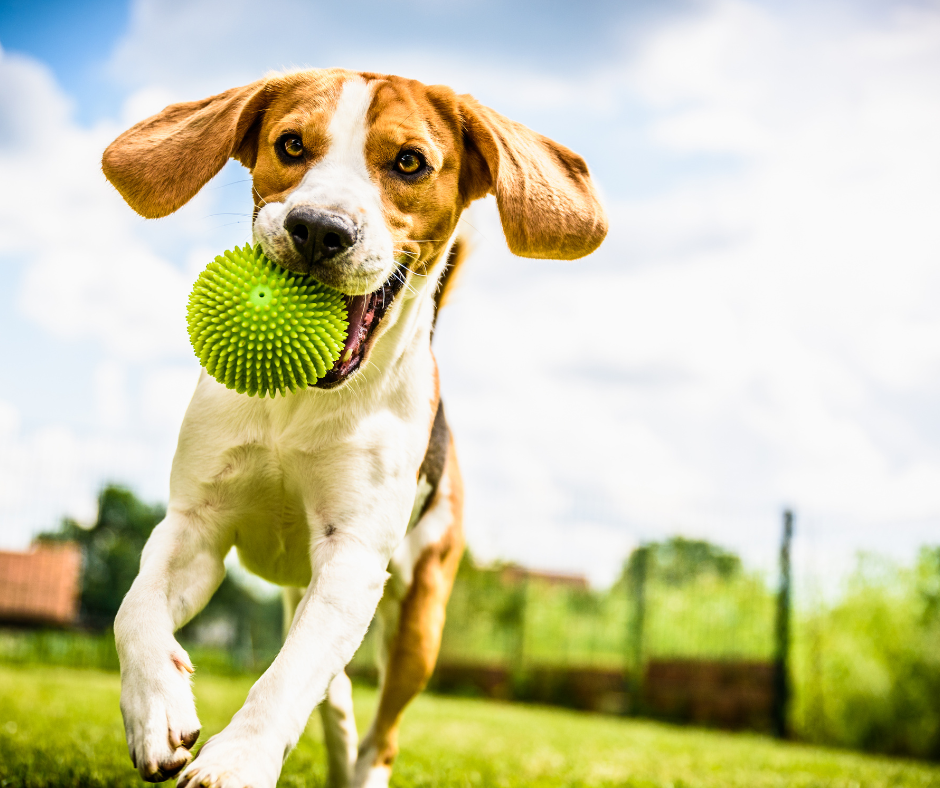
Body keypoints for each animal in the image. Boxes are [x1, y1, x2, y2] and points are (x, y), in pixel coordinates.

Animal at [99, 67, 604, 788]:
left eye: (410, 162)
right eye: (290, 145)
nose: (318, 229)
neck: (299, 403)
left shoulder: (353, 558)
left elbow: (286, 681)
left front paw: (240, 759)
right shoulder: (195, 523)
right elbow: (133, 609)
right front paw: (155, 709)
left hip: (421, 621)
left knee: (378, 725)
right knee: (330, 684)